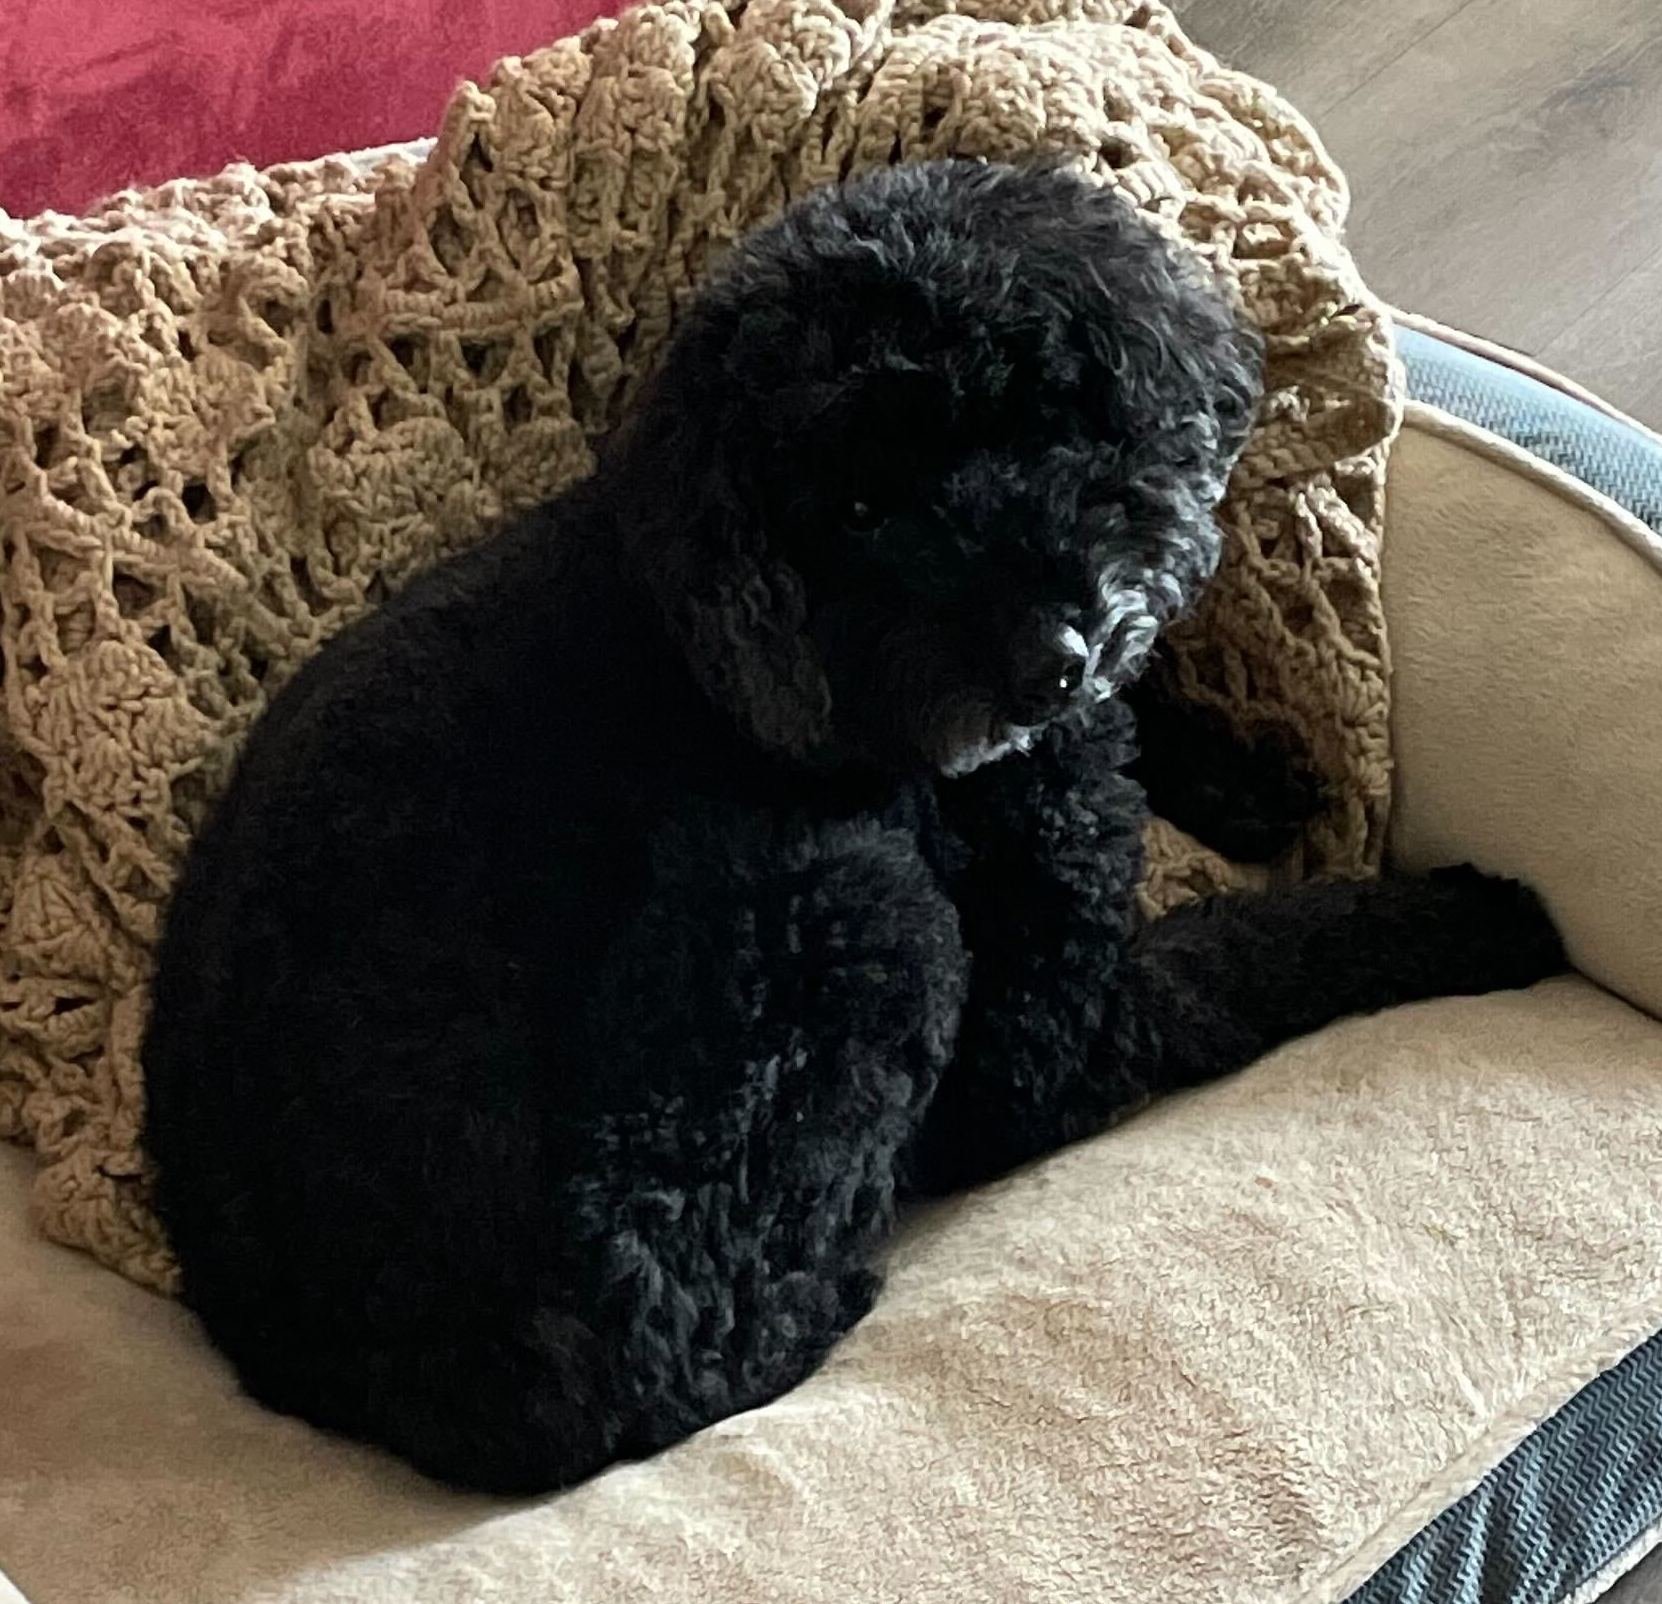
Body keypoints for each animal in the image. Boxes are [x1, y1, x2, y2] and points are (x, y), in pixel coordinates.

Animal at [142, 160, 1566, 1494]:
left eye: (1040, 412)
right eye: (861, 511)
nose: (1047, 653)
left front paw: (1242, 768)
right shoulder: (1038, 1037)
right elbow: (1248, 952)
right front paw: (1469, 914)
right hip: (853, 919)